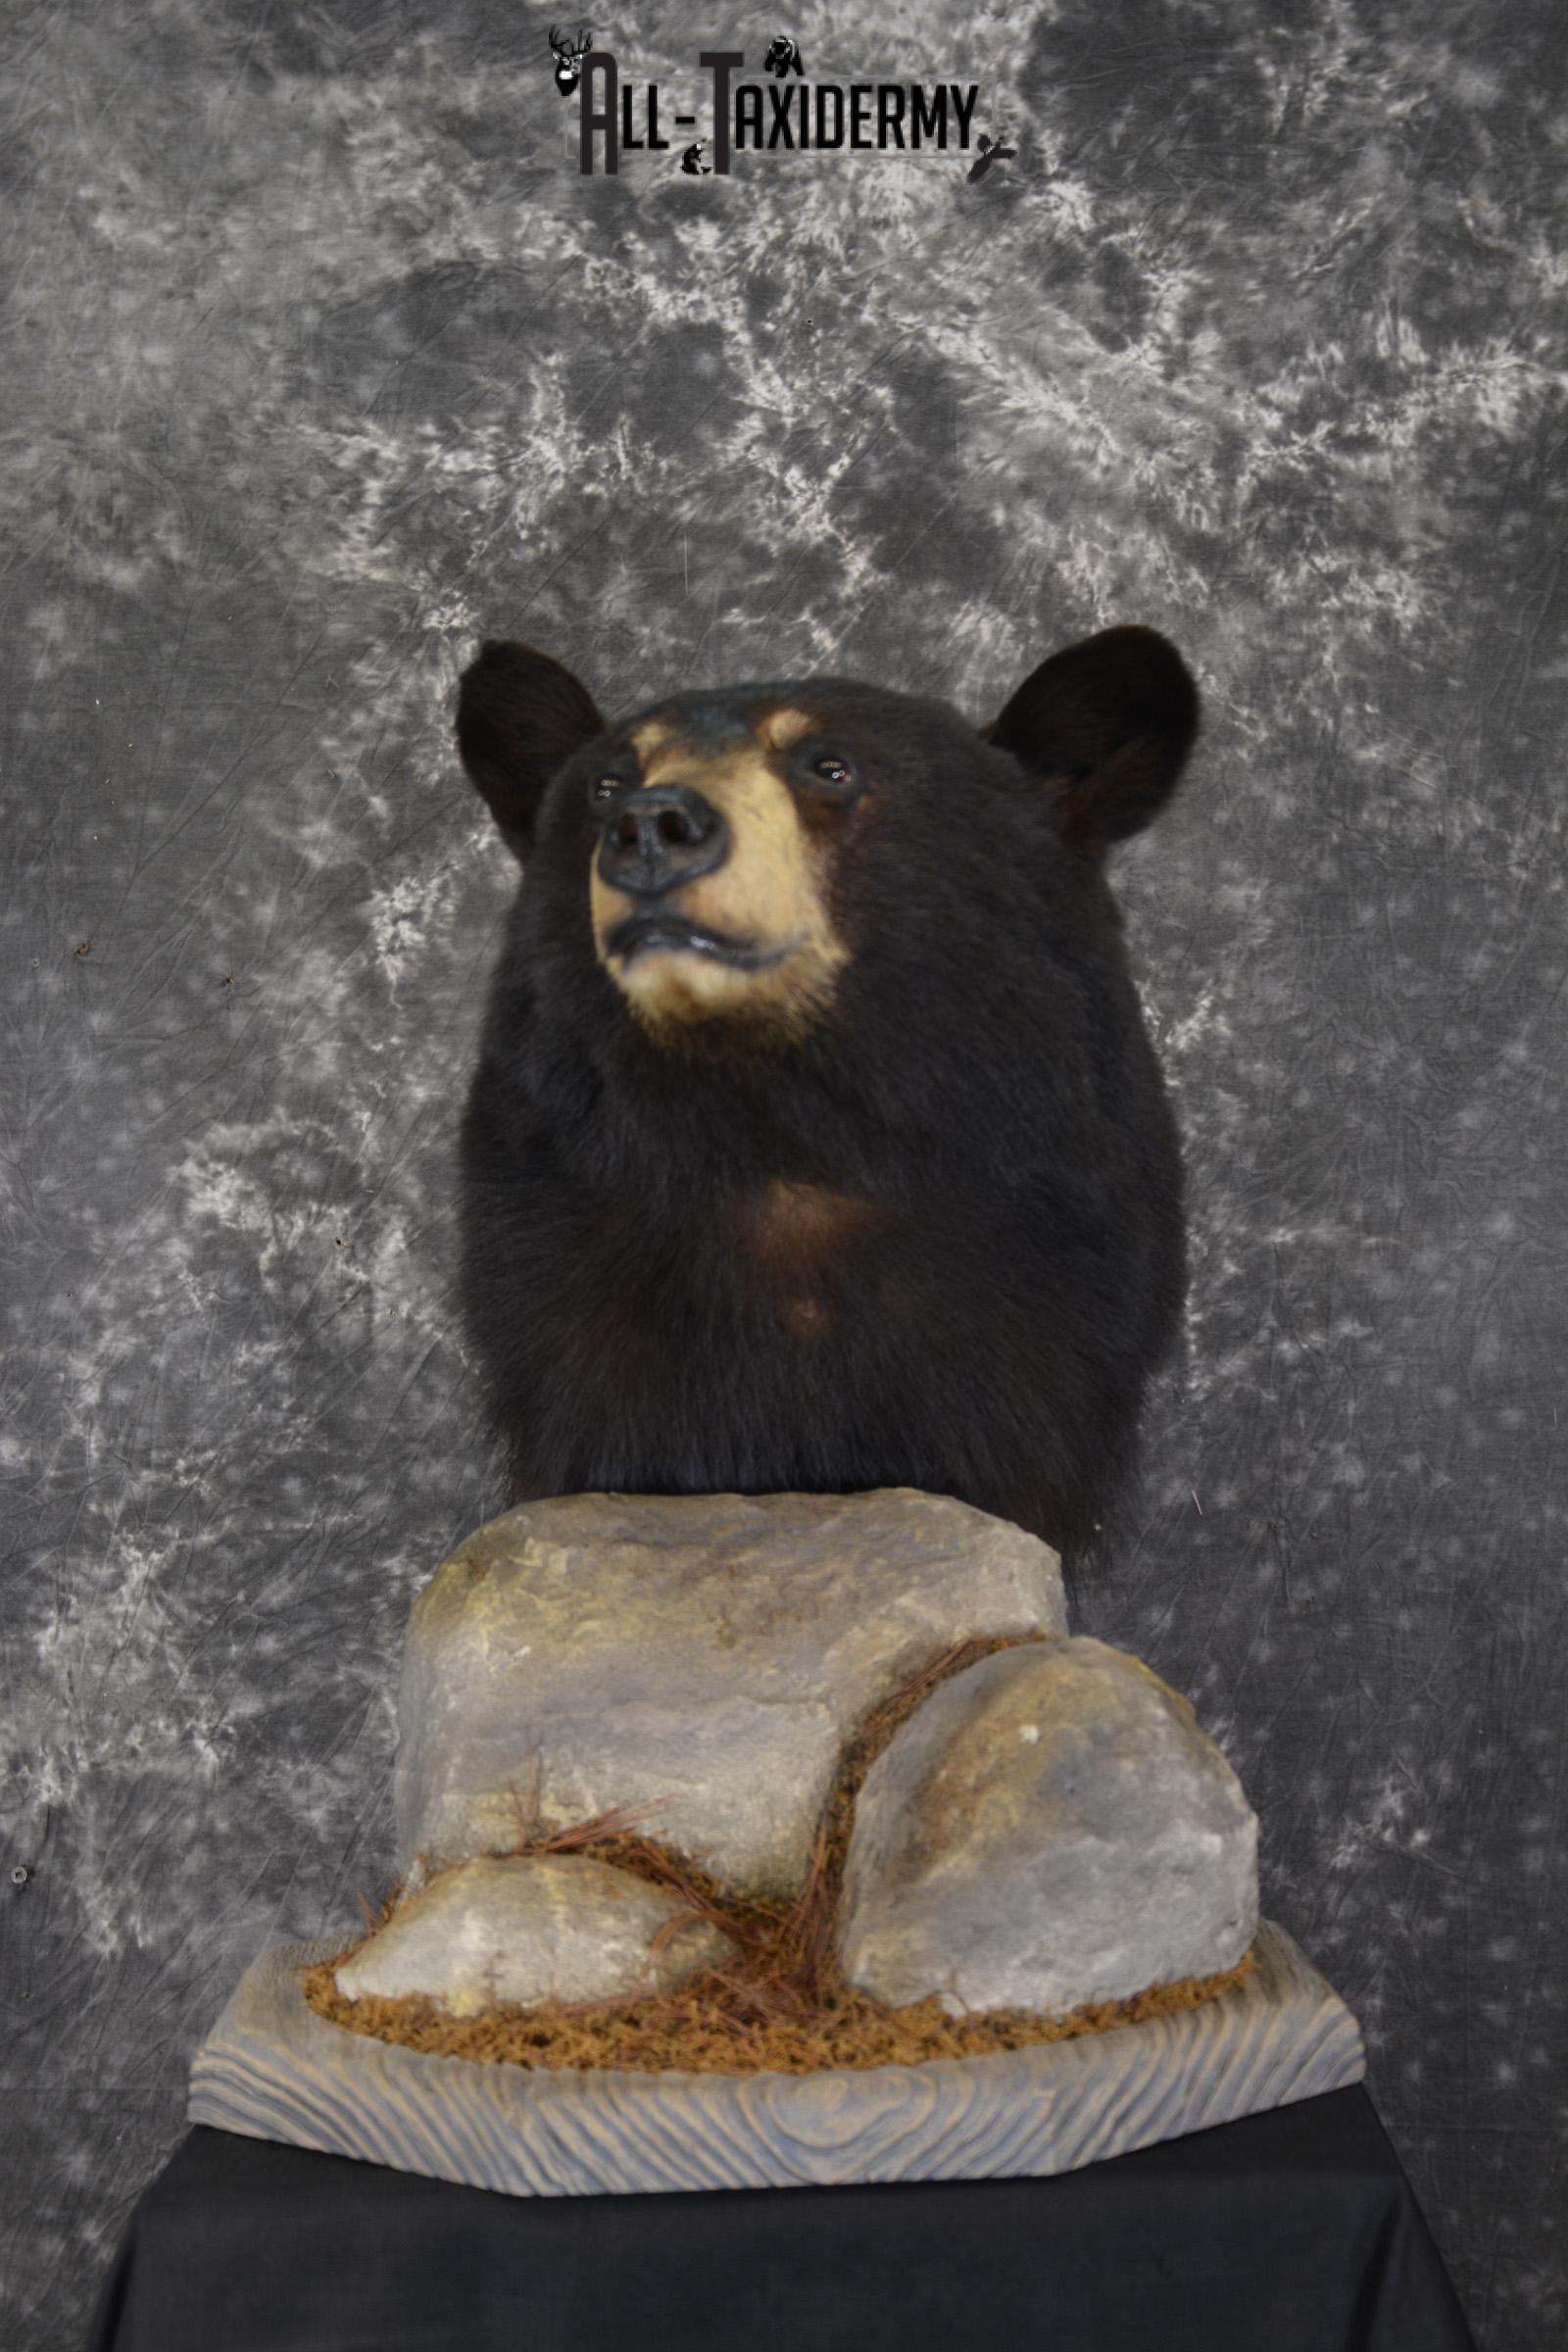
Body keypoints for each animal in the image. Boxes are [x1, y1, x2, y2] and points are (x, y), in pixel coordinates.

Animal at [453, 625, 1198, 1559]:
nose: (650, 826)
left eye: (830, 768)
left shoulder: (1055, 1275)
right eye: (604, 785)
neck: (780, 1120)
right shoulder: (560, 1278)